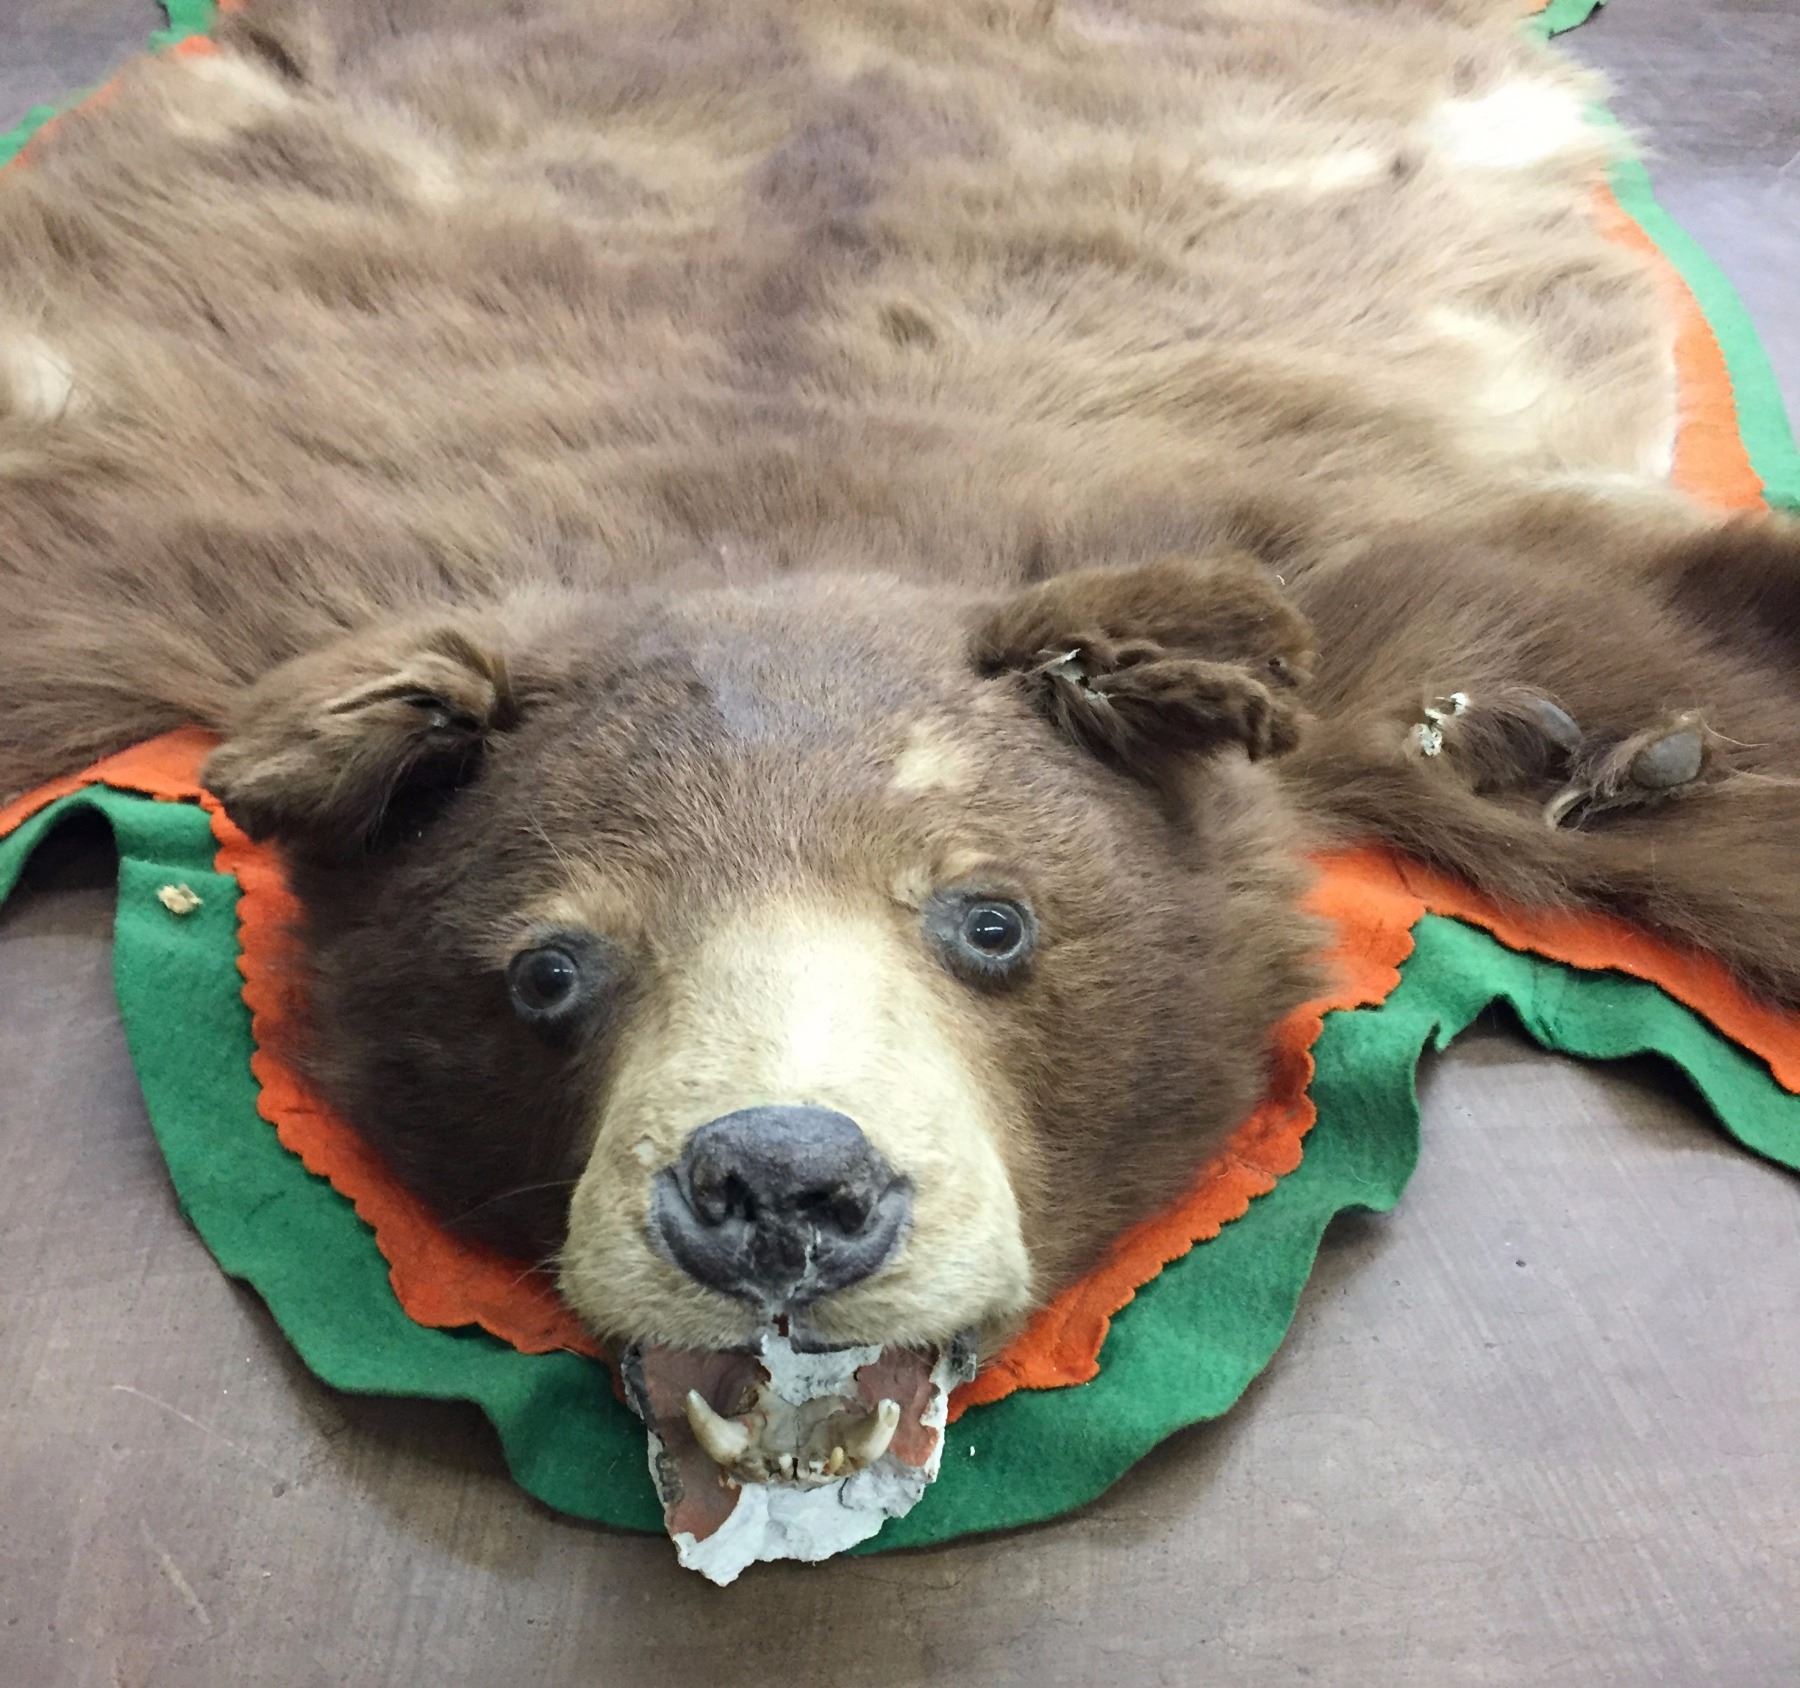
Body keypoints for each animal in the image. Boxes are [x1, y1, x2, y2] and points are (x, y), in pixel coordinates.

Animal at [1, 0, 1797, 1395]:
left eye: (992, 919)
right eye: (547, 968)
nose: (781, 1183)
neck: (781, 529)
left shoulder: (1321, 533)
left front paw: (1614, 757)